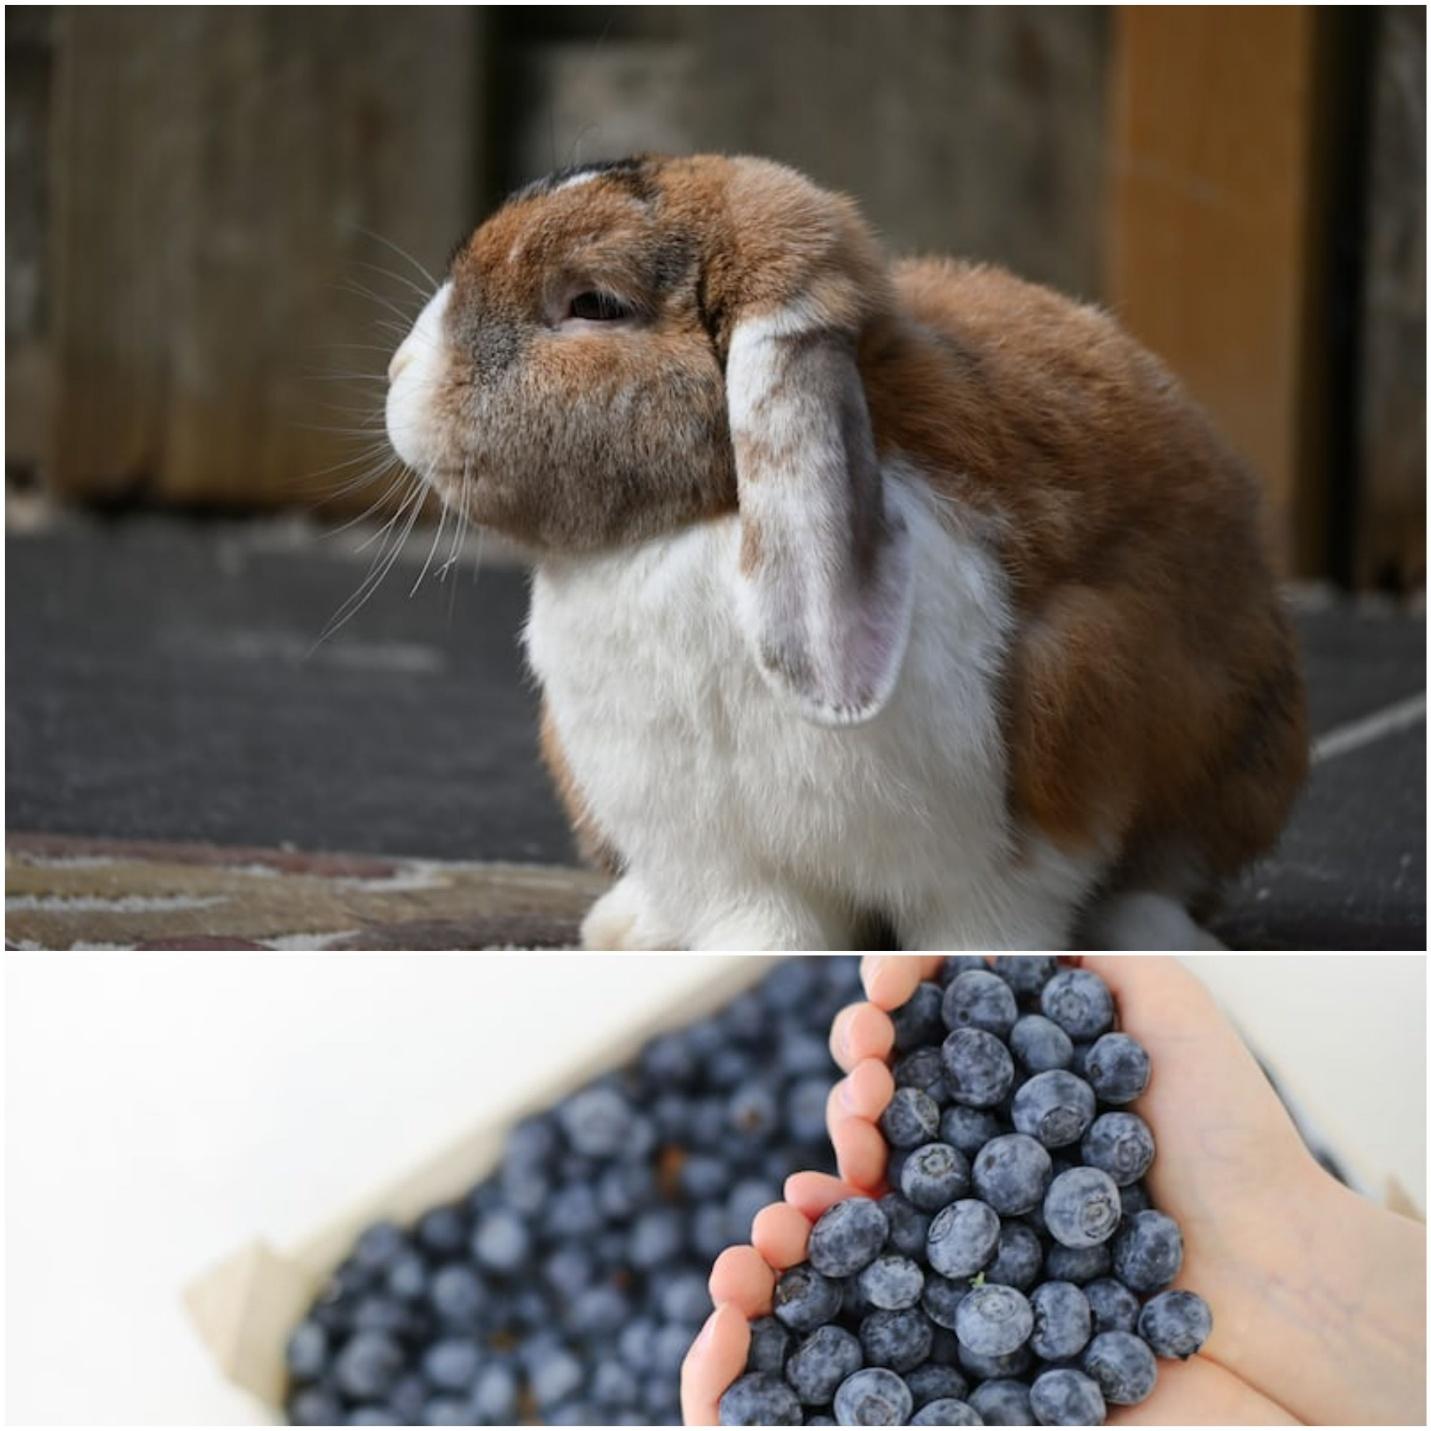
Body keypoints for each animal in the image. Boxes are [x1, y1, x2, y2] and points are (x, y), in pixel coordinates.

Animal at [384, 154, 1307, 951]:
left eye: (594, 303)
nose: (397, 374)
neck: (698, 526)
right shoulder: (718, 853)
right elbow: (765, 932)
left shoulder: (1022, 825)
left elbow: (988, 927)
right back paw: (627, 926)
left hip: (1238, 751)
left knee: (1167, 872)